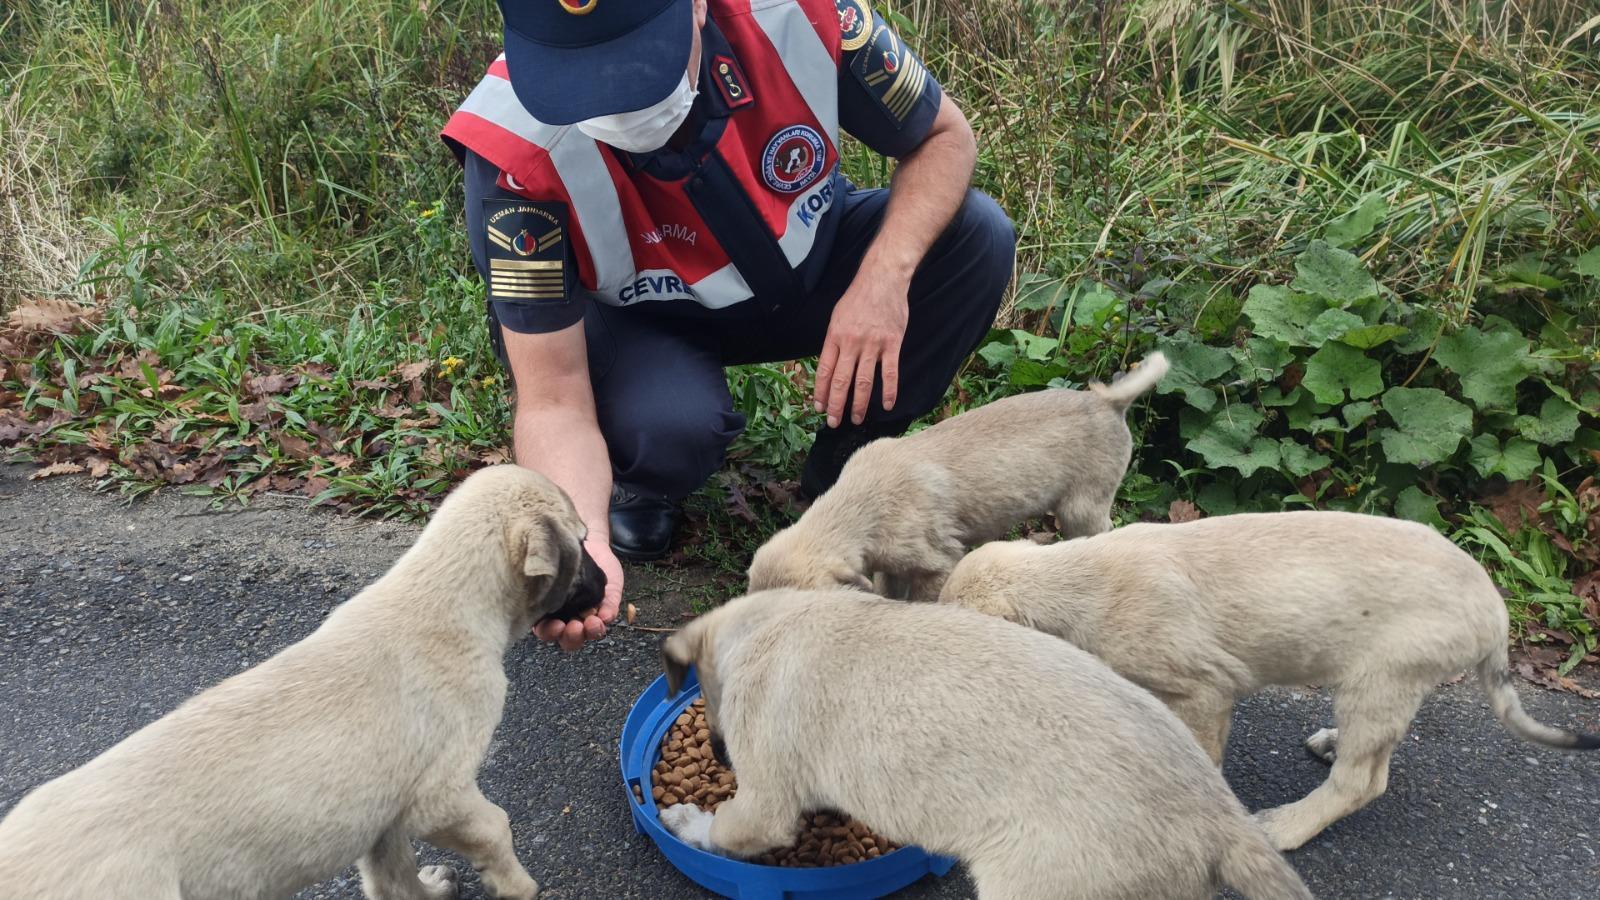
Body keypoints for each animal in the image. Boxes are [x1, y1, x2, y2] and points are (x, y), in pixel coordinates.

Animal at [0, 461, 604, 896]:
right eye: (583, 541)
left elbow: (394, 880)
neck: (442, 597)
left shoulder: (382, 818)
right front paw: (517, 886)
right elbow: (496, 829)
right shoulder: (441, 796)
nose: (605, 585)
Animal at [652, 589, 1312, 896]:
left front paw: (684, 821)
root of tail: (1221, 817)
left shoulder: (763, 807)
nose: (718, 755)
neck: (771, 623)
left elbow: (723, 829)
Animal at [934, 512, 1600, 845]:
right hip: (1386, 688)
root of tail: (1495, 614)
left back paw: (1285, 828)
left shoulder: (1205, 693)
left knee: (1362, 782)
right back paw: (1331, 744)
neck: (1075, 579)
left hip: (1378, 679)